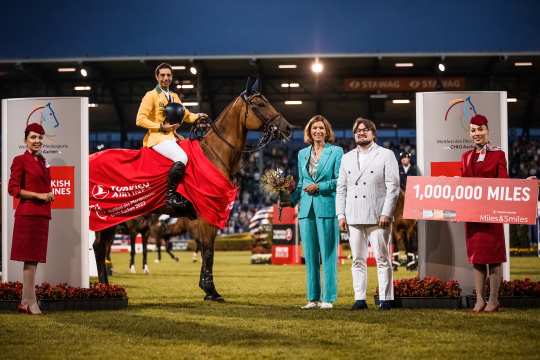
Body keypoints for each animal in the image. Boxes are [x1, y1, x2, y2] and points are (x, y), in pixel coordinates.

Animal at [95, 79, 294, 300]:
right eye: (259, 104)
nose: (288, 128)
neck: (215, 154)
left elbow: (208, 250)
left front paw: (207, 288)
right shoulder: (206, 215)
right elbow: (208, 251)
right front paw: (210, 290)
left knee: (100, 248)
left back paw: (105, 286)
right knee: (101, 248)